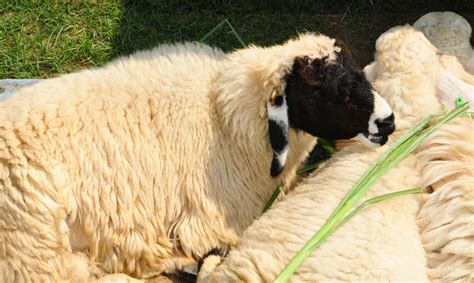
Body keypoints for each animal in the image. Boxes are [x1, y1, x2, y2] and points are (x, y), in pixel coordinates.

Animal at [0, 32, 396, 282]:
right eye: (330, 93)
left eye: (360, 72)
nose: (389, 121)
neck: (223, 112)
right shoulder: (215, 217)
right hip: (34, 246)